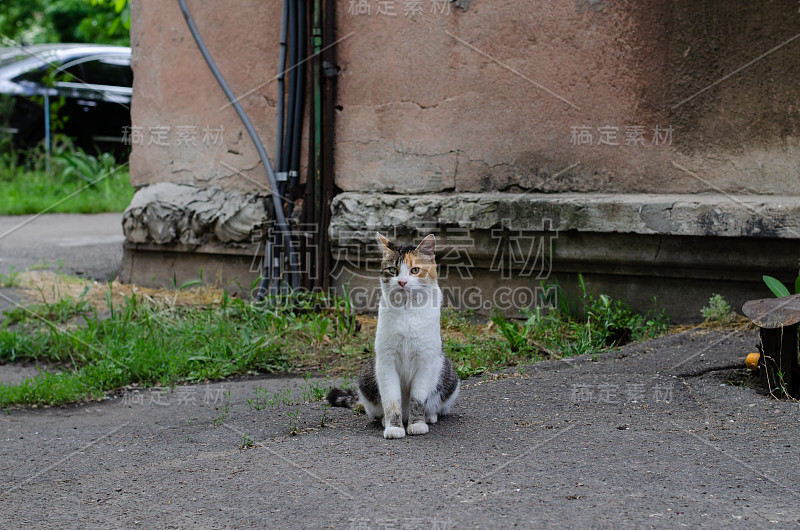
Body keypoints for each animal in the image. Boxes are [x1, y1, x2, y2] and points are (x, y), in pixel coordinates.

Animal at [326, 232, 462, 438]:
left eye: (415, 270)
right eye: (392, 269)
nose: (402, 281)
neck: (406, 310)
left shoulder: (424, 361)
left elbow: (417, 400)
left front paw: (417, 424)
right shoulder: (386, 362)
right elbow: (391, 400)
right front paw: (394, 427)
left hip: (448, 373)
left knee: (435, 405)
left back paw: (429, 417)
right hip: (368, 374)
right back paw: (385, 420)